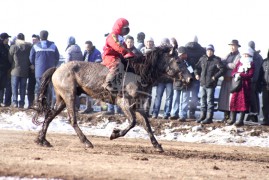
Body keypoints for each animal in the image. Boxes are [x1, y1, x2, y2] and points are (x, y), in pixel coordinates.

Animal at [32, 45, 192, 153]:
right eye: (178, 61)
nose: (190, 78)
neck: (138, 72)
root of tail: (57, 69)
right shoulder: (123, 103)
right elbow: (133, 122)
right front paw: (115, 134)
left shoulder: (137, 105)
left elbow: (146, 124)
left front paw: (157, 145)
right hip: (69, 96)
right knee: (72, 119)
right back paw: (86, 142)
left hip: (61, 99)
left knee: (50, 115)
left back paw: (42, 140)